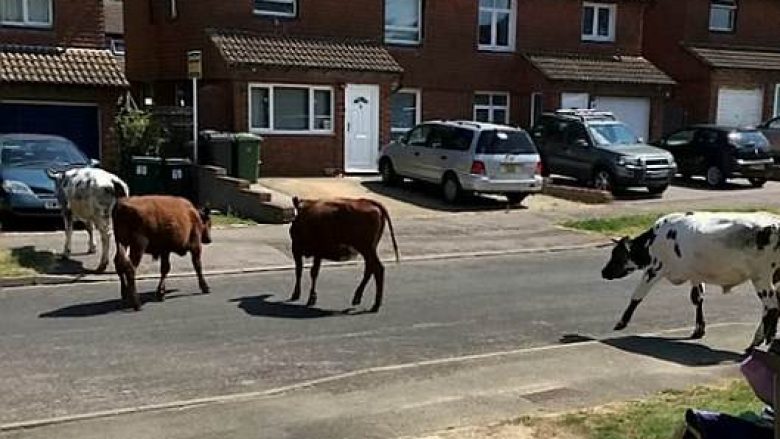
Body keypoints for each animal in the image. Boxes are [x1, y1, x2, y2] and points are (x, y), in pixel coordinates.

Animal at [608, 211, 780, 352]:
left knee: (772, 308)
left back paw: (759, 341)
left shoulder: (654, 269)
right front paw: (699, 329)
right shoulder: (695, 275)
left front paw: (621, 323)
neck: (654, 240)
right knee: (771, 308)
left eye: (616, 254)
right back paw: (764, 340)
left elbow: (637, 295)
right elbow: (697, 299)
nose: (604, 272)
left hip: (761, 277)